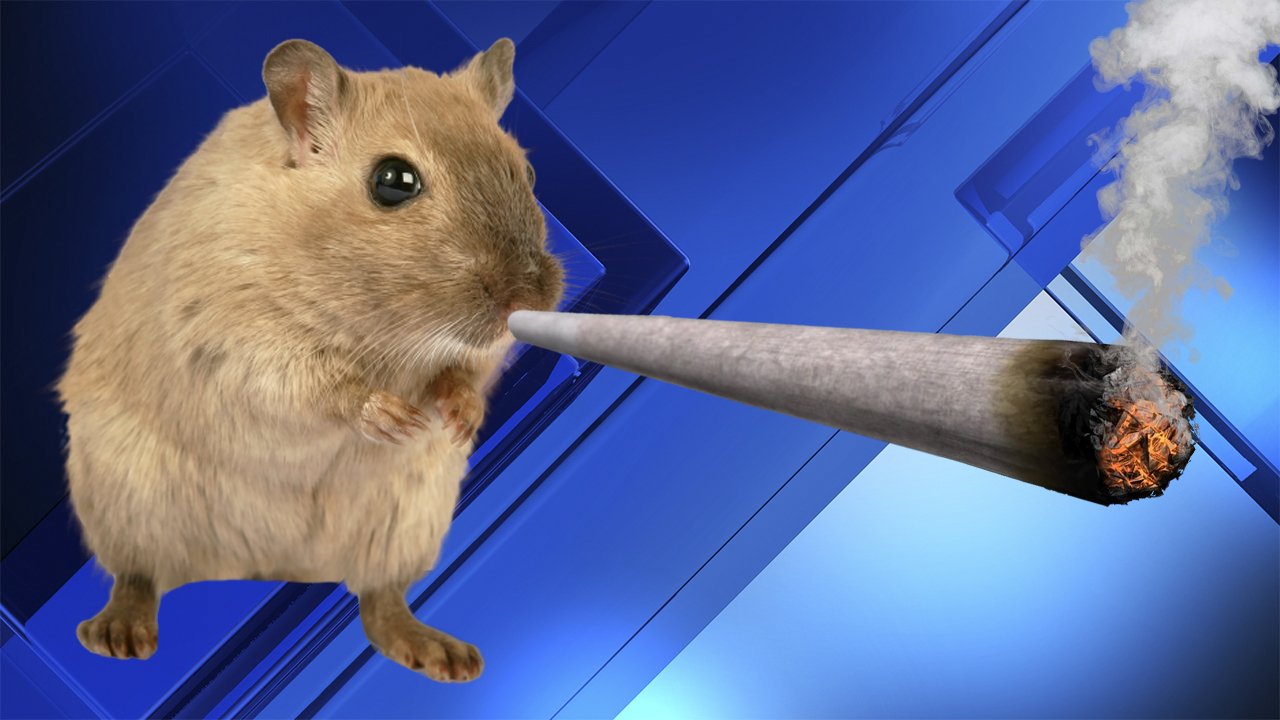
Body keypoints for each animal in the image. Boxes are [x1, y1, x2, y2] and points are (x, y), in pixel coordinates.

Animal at [56, 38, 563, 683]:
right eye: (393, 181)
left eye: (528, 172)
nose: (530, 301)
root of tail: (271, 567)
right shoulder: (234, 337)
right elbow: (317, 387)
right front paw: (393, 418)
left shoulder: (475, 354)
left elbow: (466, 374)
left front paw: (457, 418)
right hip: (126, 502)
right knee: (138, 576)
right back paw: (118, 633)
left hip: (405, 520)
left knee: (378, 601)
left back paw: (443, 655)